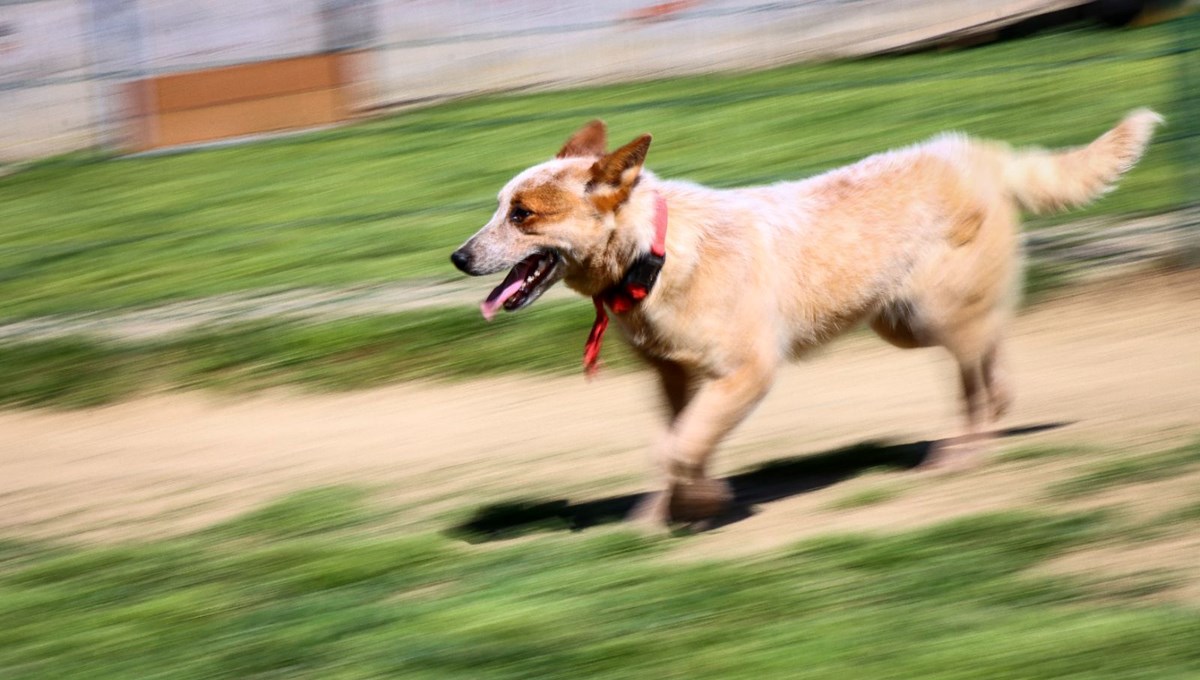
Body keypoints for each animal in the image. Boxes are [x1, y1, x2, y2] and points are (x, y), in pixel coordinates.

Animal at [451, 110, 1161, 527]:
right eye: (498, 206)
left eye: (523, 214)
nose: (458, 256)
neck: (655, 253)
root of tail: (976, 152)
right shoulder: (674, 378)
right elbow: (675, 446)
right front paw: (657, 516)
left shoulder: (748, 372)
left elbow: (680, 448)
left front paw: (706, 503)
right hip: (903, 324)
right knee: (991, 365)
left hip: (932, 315)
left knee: (978, 383)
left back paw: (961, 456)